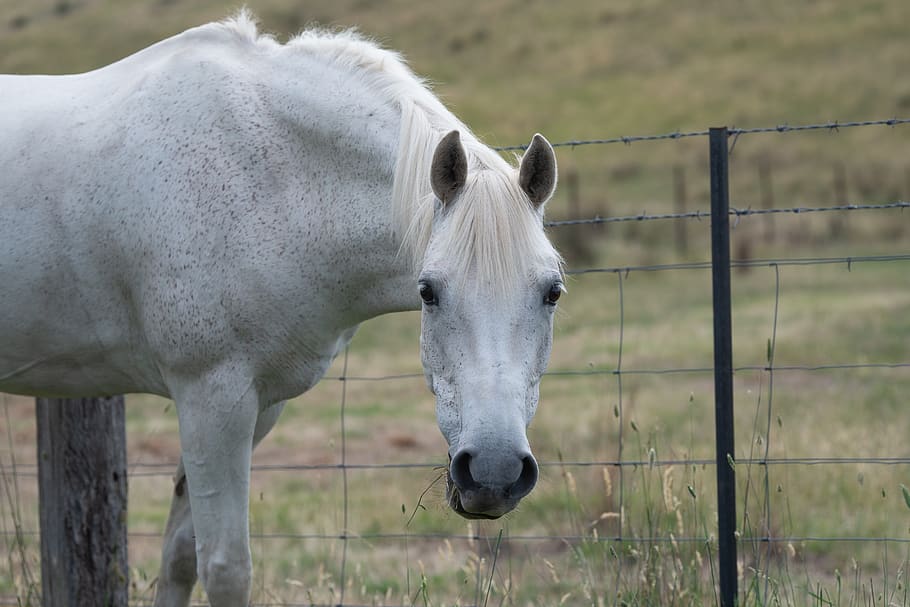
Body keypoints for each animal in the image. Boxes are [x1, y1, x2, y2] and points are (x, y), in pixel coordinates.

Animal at [0, 13, 564, 607]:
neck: (274, 177)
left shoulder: (258, 406)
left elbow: (179, 557)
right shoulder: (211, 399)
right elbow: (224, 567)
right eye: (428, 291)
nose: (495, 471)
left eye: (552, 292)